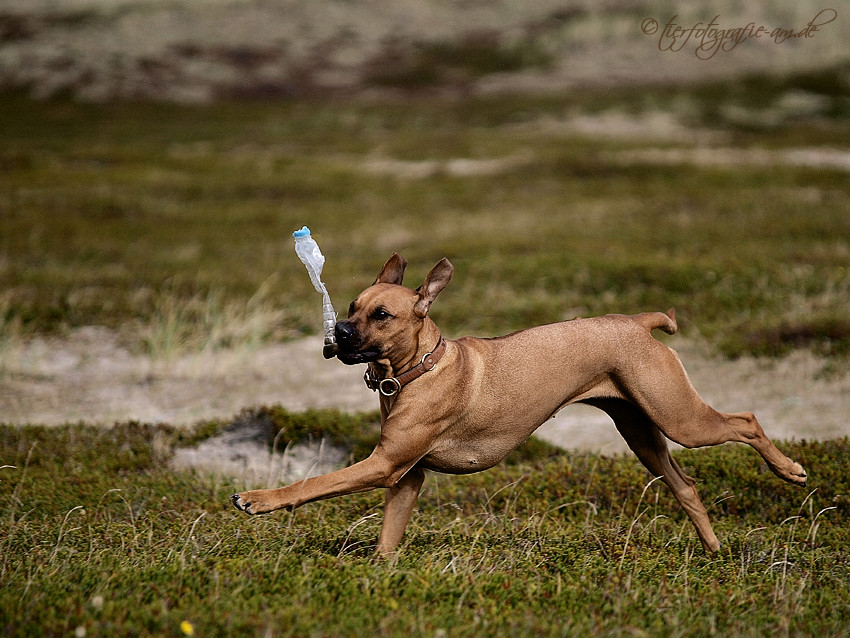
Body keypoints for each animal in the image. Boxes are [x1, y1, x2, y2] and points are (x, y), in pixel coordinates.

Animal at [230, 254, 800, 556]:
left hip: (679, 417)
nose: (338, 334)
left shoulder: (383, 464)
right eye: (351, 306)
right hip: (642, 433)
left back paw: (789, 469)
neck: (418, 370)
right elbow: (388, 536)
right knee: (686, 487)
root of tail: (637, 322)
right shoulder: (405, 476)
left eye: (382, 315)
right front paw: (379, 573)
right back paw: (715, 551)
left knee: (746, 420)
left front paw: (258, 498)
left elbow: (311, 484)